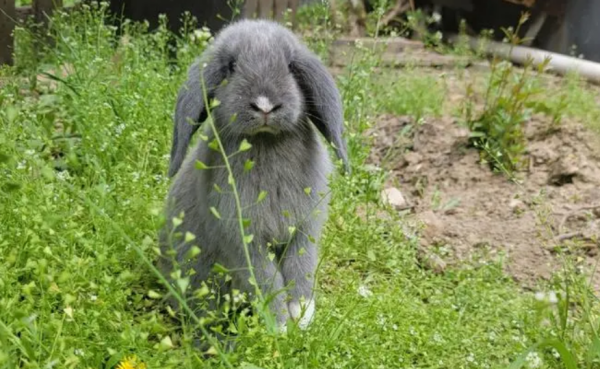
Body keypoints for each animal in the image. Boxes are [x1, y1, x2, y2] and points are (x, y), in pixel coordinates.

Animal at [157, 18, 350, 336]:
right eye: (231, 66)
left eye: (290, 66)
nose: (265, 105)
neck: (265, 142)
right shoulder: (244, 241)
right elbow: (266, 279)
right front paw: (280, 324)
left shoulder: (304, 230)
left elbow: (301, 267)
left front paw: (302, 315)